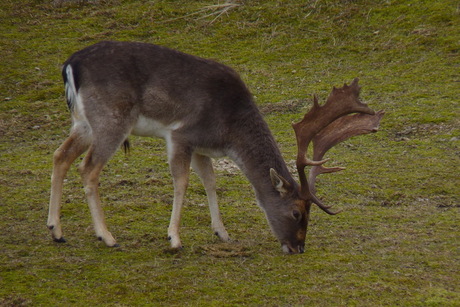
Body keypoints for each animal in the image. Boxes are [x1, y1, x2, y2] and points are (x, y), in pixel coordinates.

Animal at [47, 41, 384, 255]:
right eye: (297, 212)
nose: (298, 248)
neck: (229, 133)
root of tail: (69, 65)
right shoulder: (181, 135)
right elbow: (182, 182)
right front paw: (174, 239)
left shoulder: (201, 147)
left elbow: (210, 182)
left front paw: (222, 232)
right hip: (111, 119)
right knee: (88, 168)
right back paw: (107, 237)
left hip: (83, 123)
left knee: (60, 155)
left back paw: (56, 231)